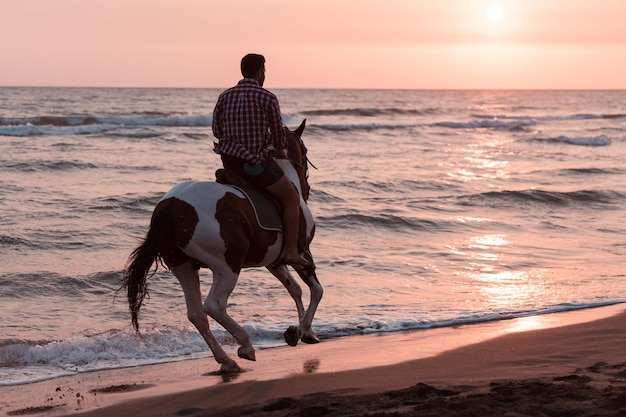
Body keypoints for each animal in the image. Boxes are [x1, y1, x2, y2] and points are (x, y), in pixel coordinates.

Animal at [122, 118, 322, 372]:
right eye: (305, 152)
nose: (308, 186)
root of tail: (170, 208)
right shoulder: (302, 254)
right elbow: (316, 290)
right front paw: (303, 330)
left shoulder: (275, 263)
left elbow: (294, 289)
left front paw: (300, 332)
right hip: (226, 266)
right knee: (214, 306)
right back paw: (245, 346)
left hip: (183, 266)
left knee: (197, 314)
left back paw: (226, 360)